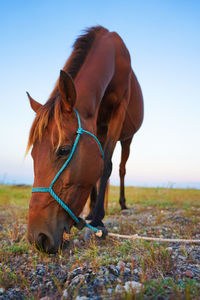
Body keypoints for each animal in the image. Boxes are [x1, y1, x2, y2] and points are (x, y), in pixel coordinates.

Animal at [26, 25, 143, 252]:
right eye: (33, 154)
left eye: (63, 150)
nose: (38, 238)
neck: (114, 56)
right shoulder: (95, 122)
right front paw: (91, 214)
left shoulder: (119, 110)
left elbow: (106, 165)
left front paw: (97, 221)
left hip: (128, 139)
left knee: (121, 168)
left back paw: (122, 204)